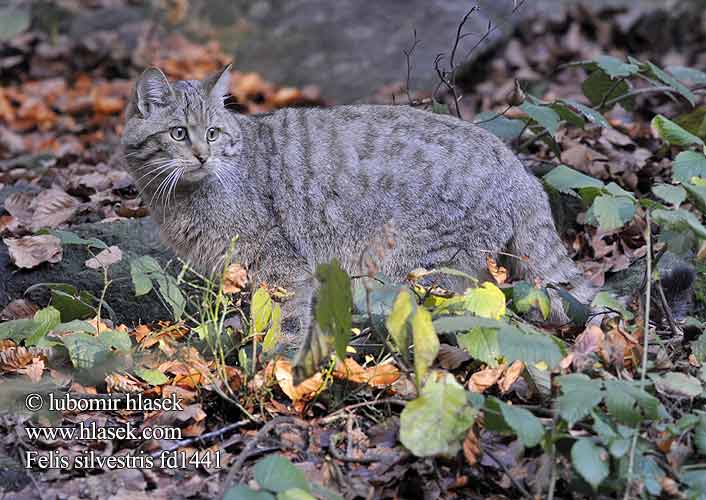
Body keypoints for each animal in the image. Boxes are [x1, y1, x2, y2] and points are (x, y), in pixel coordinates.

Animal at [119, 65, 592, 348]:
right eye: (179, 134)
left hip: (422, 270)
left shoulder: (283, 268)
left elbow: (286, 325)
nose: (202, 155)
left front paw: (277, 373)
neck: (178, 199)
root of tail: (519, 170)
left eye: (213, 133)